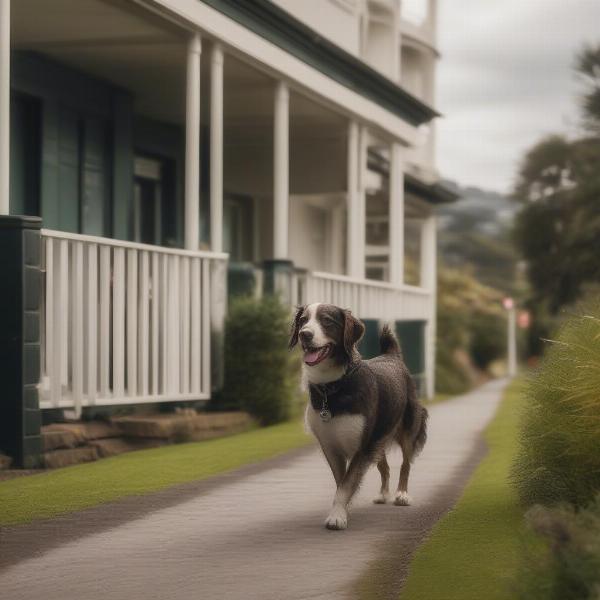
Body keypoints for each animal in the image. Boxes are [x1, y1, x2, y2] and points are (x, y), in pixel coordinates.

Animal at [290, 304, 426, 528]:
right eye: (303, 321)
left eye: (327, 321)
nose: (304, 335)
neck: (333, 387)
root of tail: (392, 356)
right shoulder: (332, 447)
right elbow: (342, 482)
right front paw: (344, 509)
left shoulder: (362, 447)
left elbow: (346, 484)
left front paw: (337, 516)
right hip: (378, 438)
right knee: (385, 467)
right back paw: (383, 494)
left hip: (407, 428)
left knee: (405, 464)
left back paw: (402, 495)